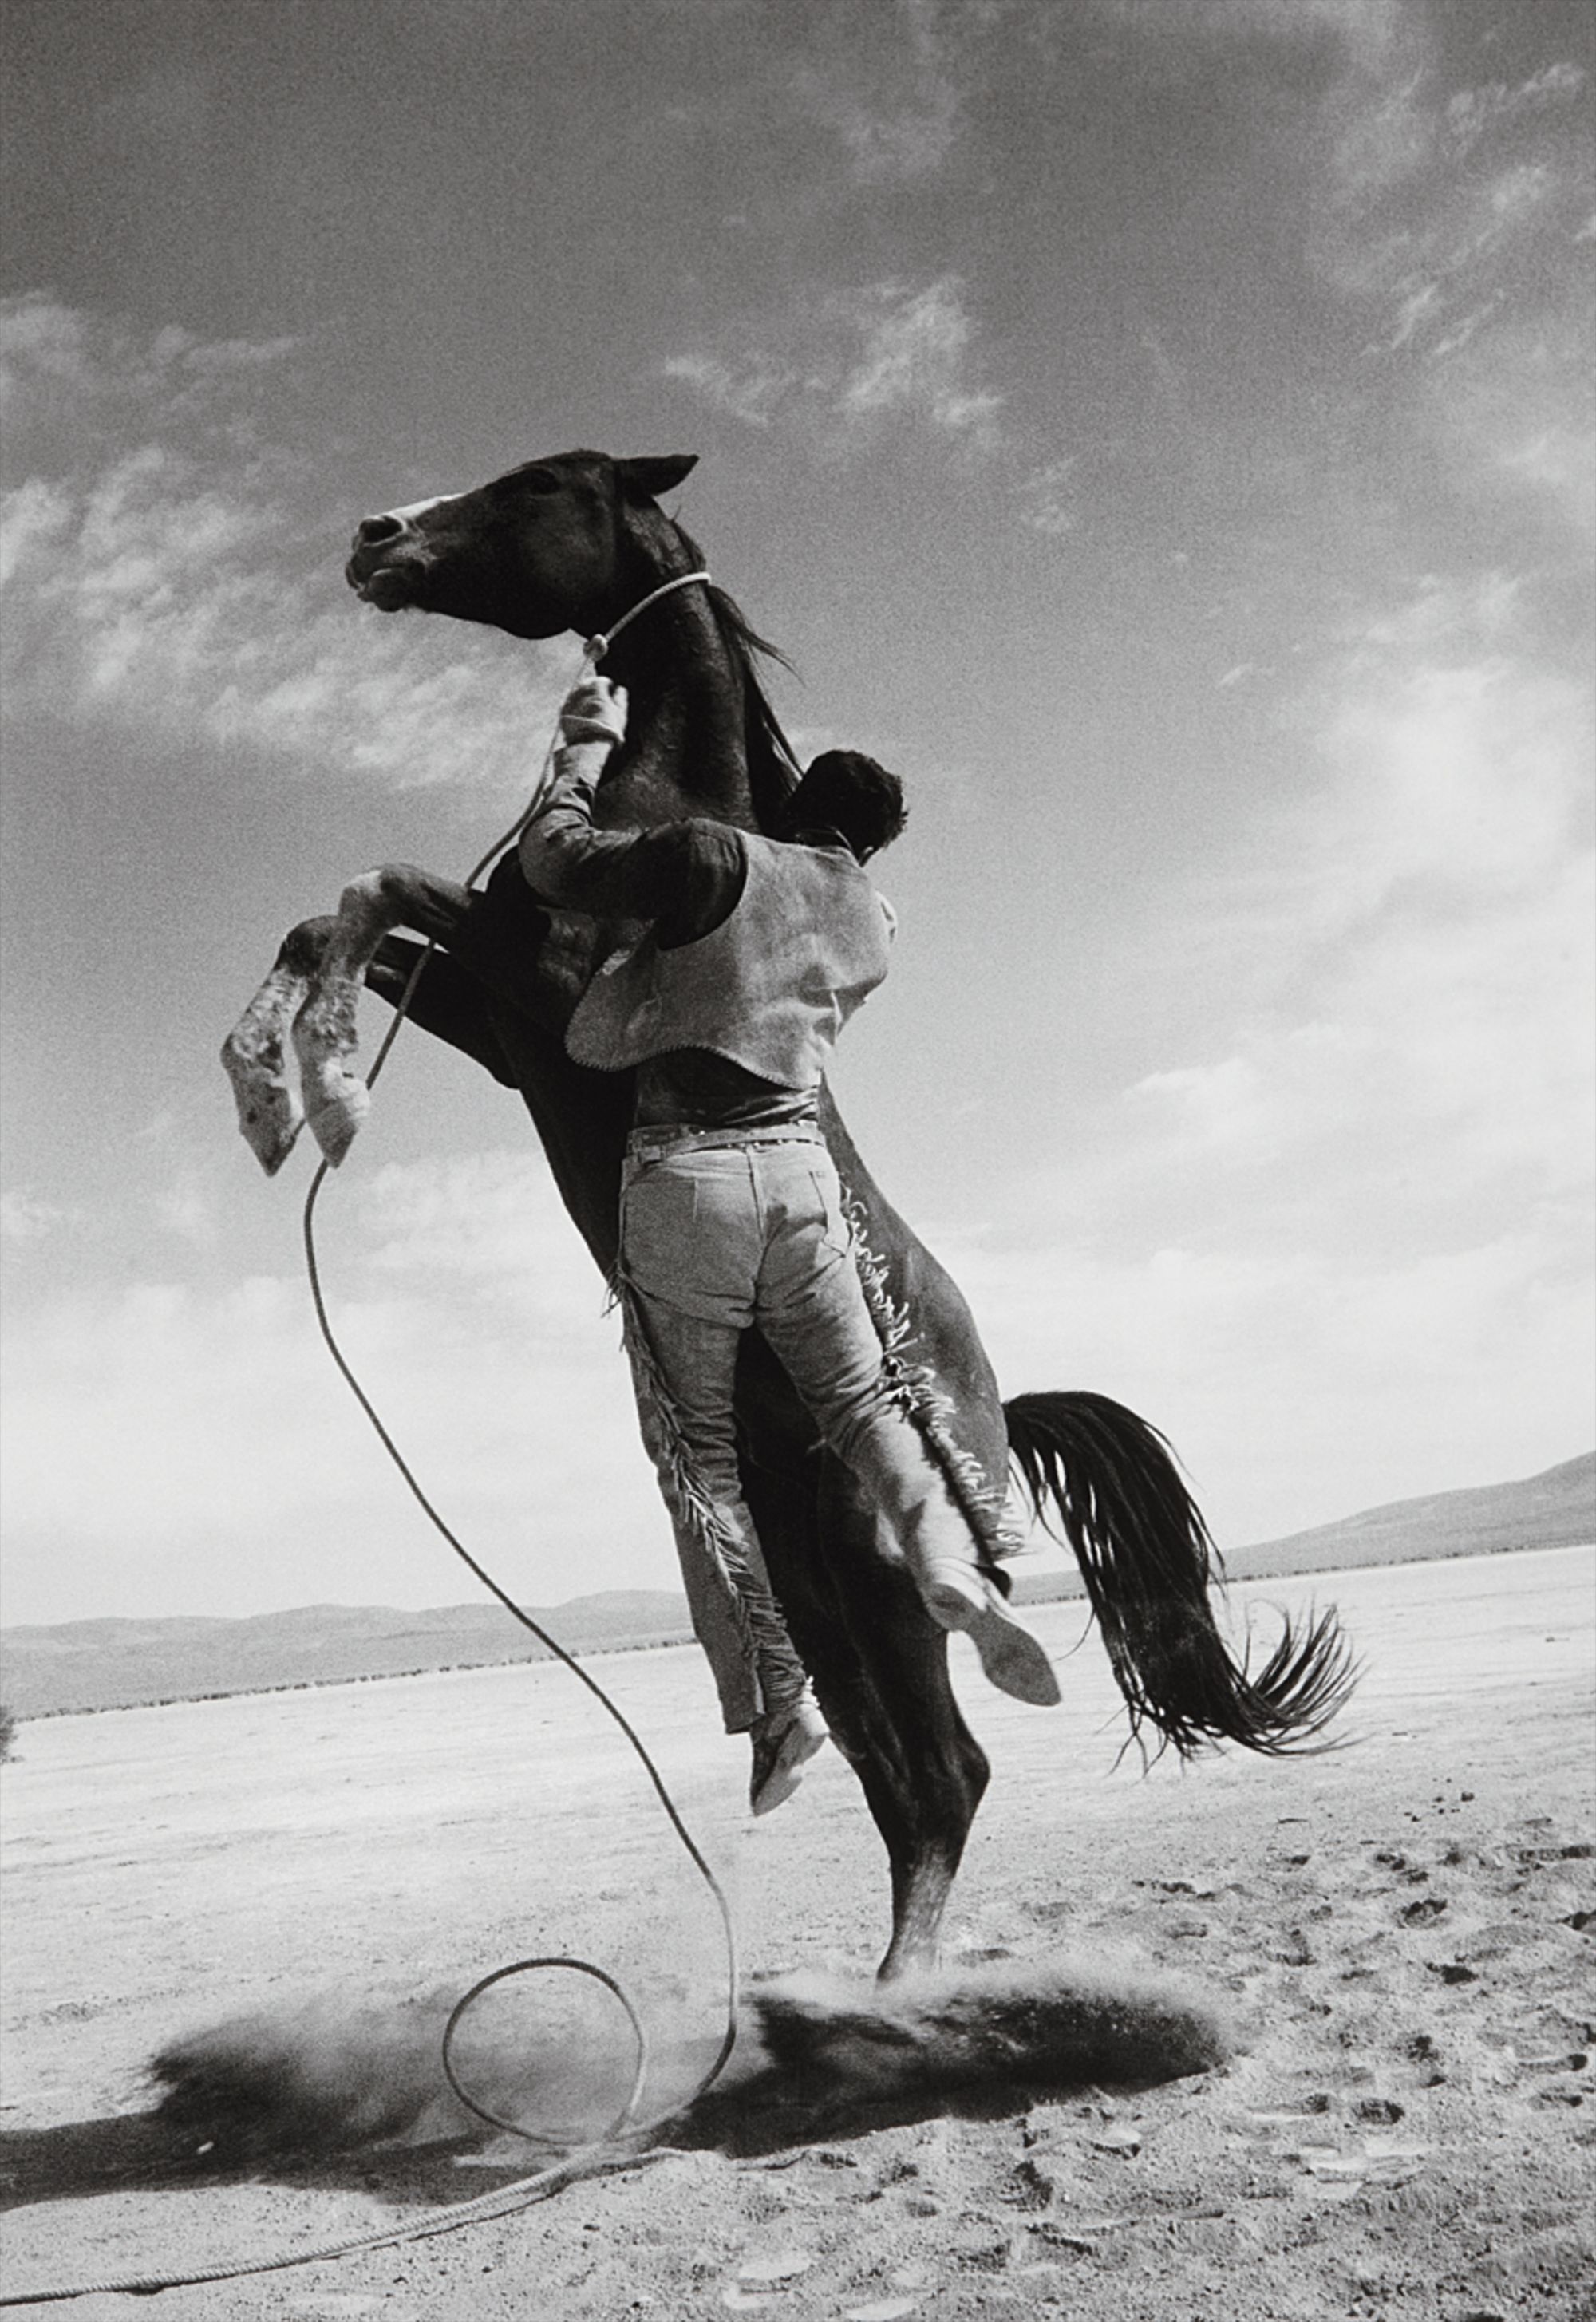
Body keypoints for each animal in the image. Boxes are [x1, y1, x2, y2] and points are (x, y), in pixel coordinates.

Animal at [224, 448, 1354, 1981]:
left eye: (539, 484)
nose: (375, 536)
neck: (674, 799)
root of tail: (993, 1407)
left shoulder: (540, 989)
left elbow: (382, 883)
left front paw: (311, 1098)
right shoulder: (498, 1021)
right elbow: (344, 910)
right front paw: (281, 1083)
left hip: (879, 1585)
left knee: (948, 1773)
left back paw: (897, 1994)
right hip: (813, 1585)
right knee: (903, 1779)